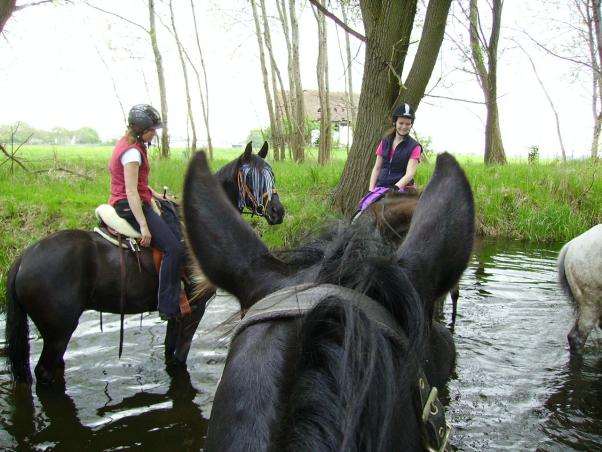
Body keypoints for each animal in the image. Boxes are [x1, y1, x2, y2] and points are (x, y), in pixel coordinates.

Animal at [5, 141, 284, 384]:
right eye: (251, 177)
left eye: (272, 173)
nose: (278, 211)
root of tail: (24, 258)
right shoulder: (194, 310)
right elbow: (179, 359)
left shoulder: (177, 312)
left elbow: (169, 353)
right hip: (58, 333)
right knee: (44, 372)